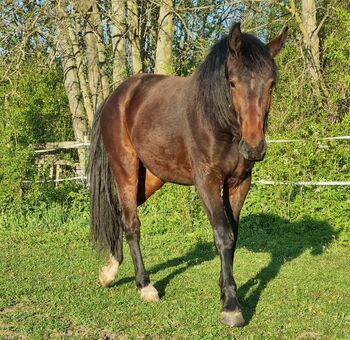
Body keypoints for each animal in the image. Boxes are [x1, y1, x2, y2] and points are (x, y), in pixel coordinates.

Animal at [89, 23, 288, 326]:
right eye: (233, 82)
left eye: (271, 83)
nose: (254, 147)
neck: (217, 122)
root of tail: (117, 96)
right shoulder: (206, 182)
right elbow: (223, 235)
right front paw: (231, 306)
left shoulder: (239, 183)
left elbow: (233, 235)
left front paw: (225, 289)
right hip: (126, 169)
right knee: (131, 223)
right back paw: (144, 285)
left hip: (152, 177)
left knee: (121, 213)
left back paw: (110, 271)